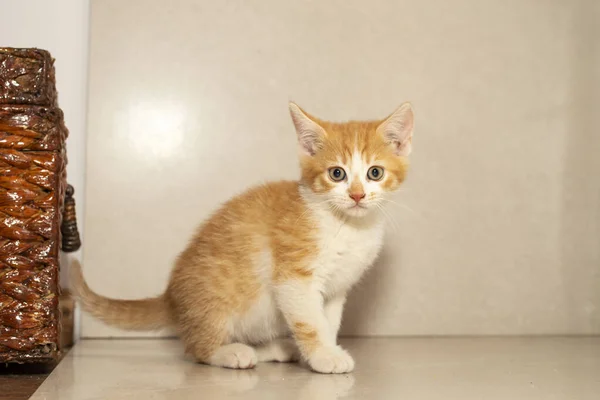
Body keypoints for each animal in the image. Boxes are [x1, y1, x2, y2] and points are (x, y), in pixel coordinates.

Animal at [71, 101, 412, 374]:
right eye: (336, 174)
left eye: (375, 173)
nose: (357, 195)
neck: (346, 225)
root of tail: (171, 297)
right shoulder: (293, 278)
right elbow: (310, 322)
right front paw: (325, 357)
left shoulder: (337, 288)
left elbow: (328, 321)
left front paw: (324, 351)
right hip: (217, 303)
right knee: (195, 350)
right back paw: (228, 353)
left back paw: (276, 348)